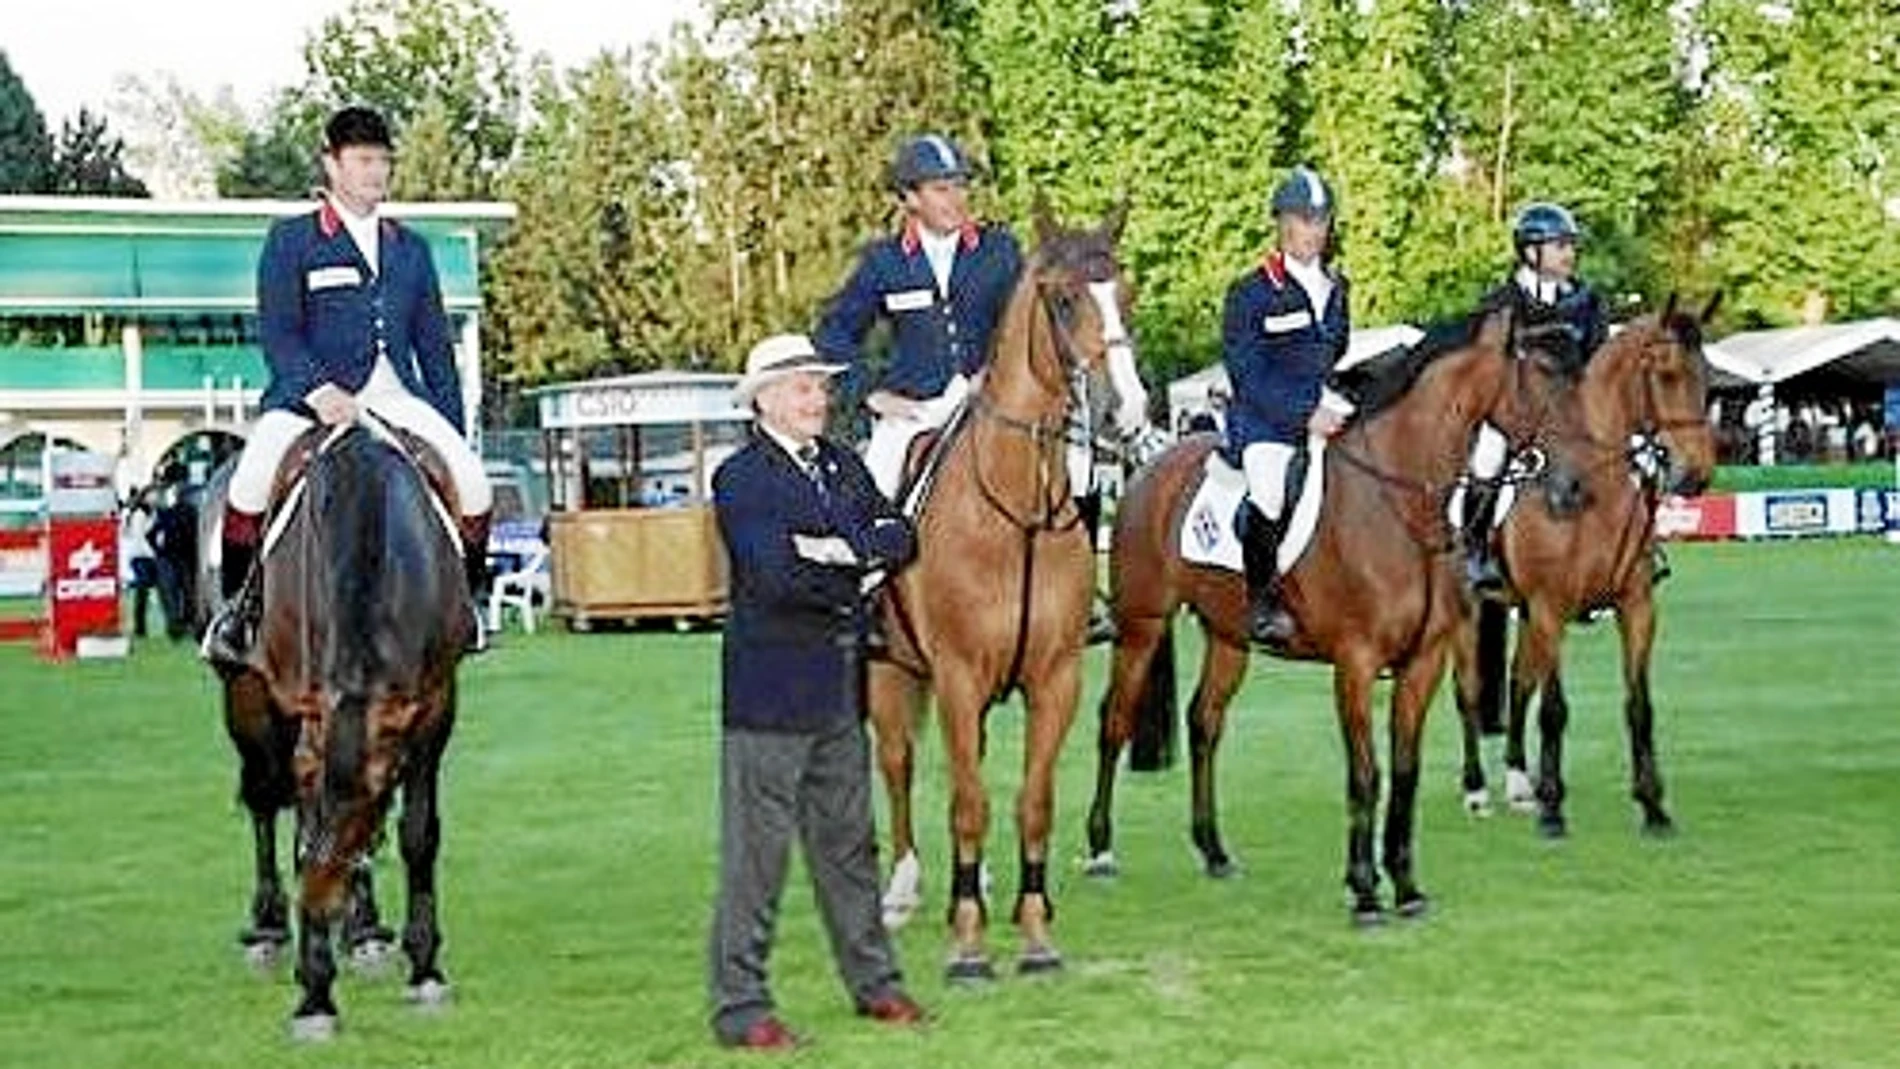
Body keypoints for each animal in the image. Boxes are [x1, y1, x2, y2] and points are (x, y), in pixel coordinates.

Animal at [870, 201, 1147, 979]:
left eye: (1126, 293)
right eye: (1063, 298)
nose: (1125, 414)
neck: (1015, 514)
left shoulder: (1054, 679)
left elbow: (1031, 802)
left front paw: (1035, 931)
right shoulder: (959, 677)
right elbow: (967, 803)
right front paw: (968, 944)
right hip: (887, 672)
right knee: (899, 765)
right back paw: (902, 888)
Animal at [1079, 307, 1535, 918]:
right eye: (1545, 370)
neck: (1396, 503)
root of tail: (1148, 468)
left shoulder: (1423, 662)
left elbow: (1406, 771)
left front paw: (1406, 886)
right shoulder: (1356, 664)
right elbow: (1366, 773)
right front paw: (1364, 890)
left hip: (1228, 636)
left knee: (1204, 723)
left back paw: (1214, 850)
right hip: (1141, 625)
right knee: (1115, 721)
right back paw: (1101, 849)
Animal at [1451, 296, 1725, 839]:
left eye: (1705, 376)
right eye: (1665, 375)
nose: (1696, 475)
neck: (1594, 492)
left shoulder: (1636, 607)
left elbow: (1639, 706)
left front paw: (1653, 806)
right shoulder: (1551, 608)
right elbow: (1555, 709)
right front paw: (1555, 811)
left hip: (1524, 615)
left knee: (1518, 683)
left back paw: (1520, 783)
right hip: (1469, 614)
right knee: (1468, 693)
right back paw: (1477, 791)